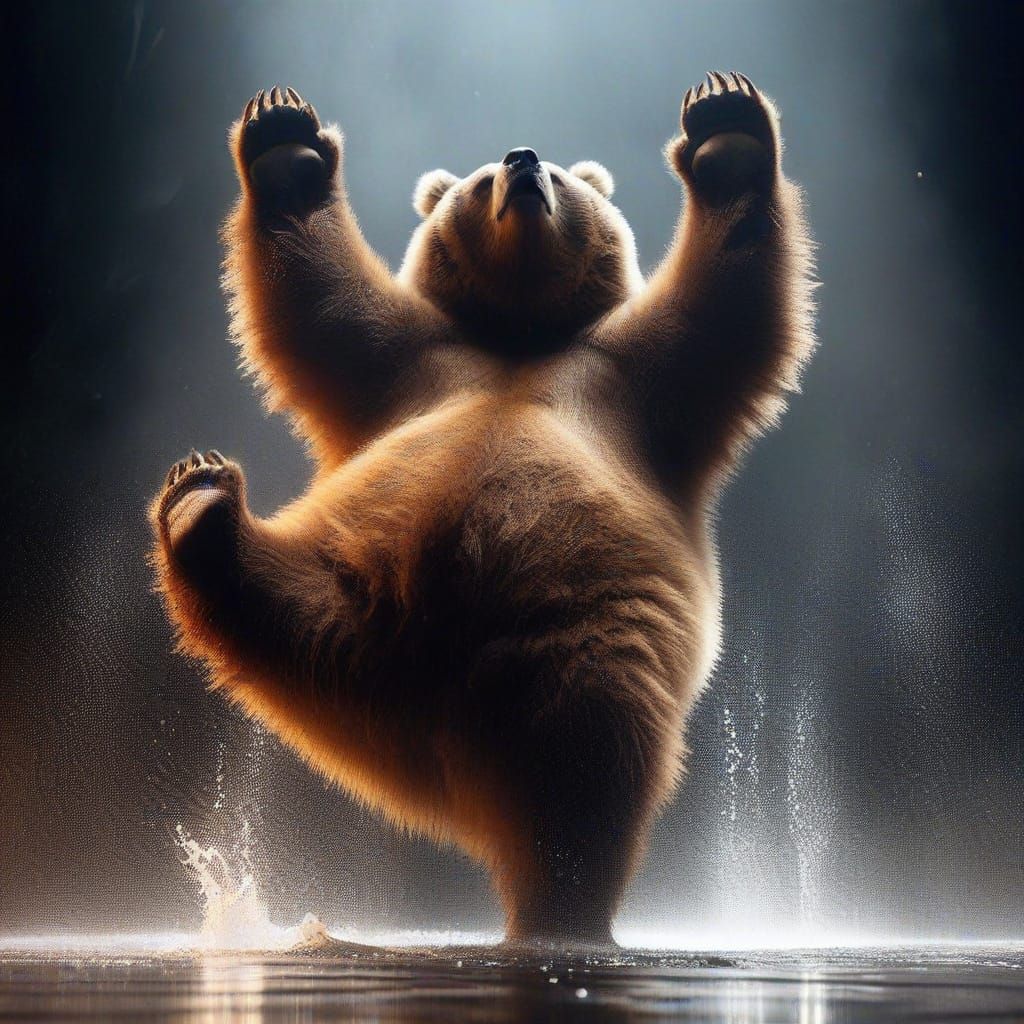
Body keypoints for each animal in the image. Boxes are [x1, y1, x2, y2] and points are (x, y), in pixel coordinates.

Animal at [151, 74, 815, 949]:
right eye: (480, 177)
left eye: (561, 174)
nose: (524, 161)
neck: (519, 334)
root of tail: (421, 717)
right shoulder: (410, 359)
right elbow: (320, 304)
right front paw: (285, 144)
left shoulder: (636, 377)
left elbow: (724, 306)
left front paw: (726, 129)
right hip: (336, 596)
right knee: (264, 599)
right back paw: (199, 507)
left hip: (578, 633)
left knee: (583, 770)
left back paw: (562, 913)